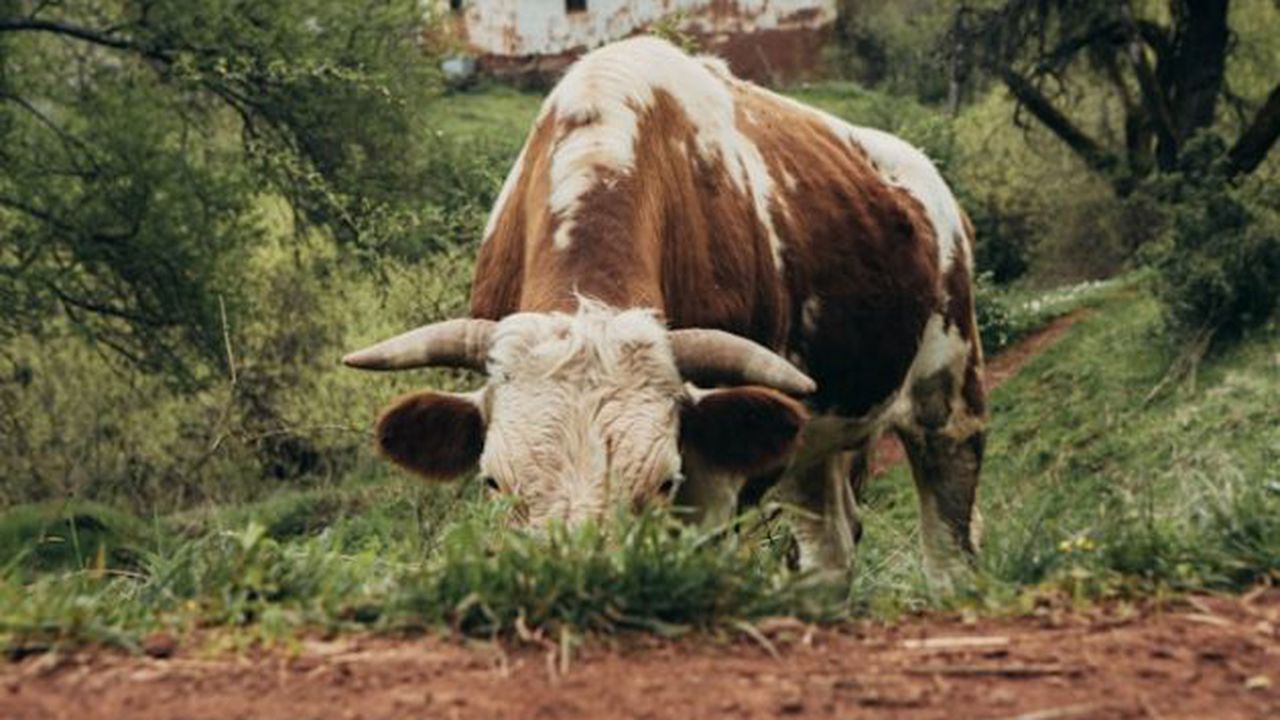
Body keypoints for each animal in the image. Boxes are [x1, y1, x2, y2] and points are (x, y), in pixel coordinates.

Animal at [344, 37, 986, 592]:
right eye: (494, 481)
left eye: (662, 481)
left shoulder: (713, 477)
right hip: (815, 440)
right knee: (829, 547)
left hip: (950, 398)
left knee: (949, 546)